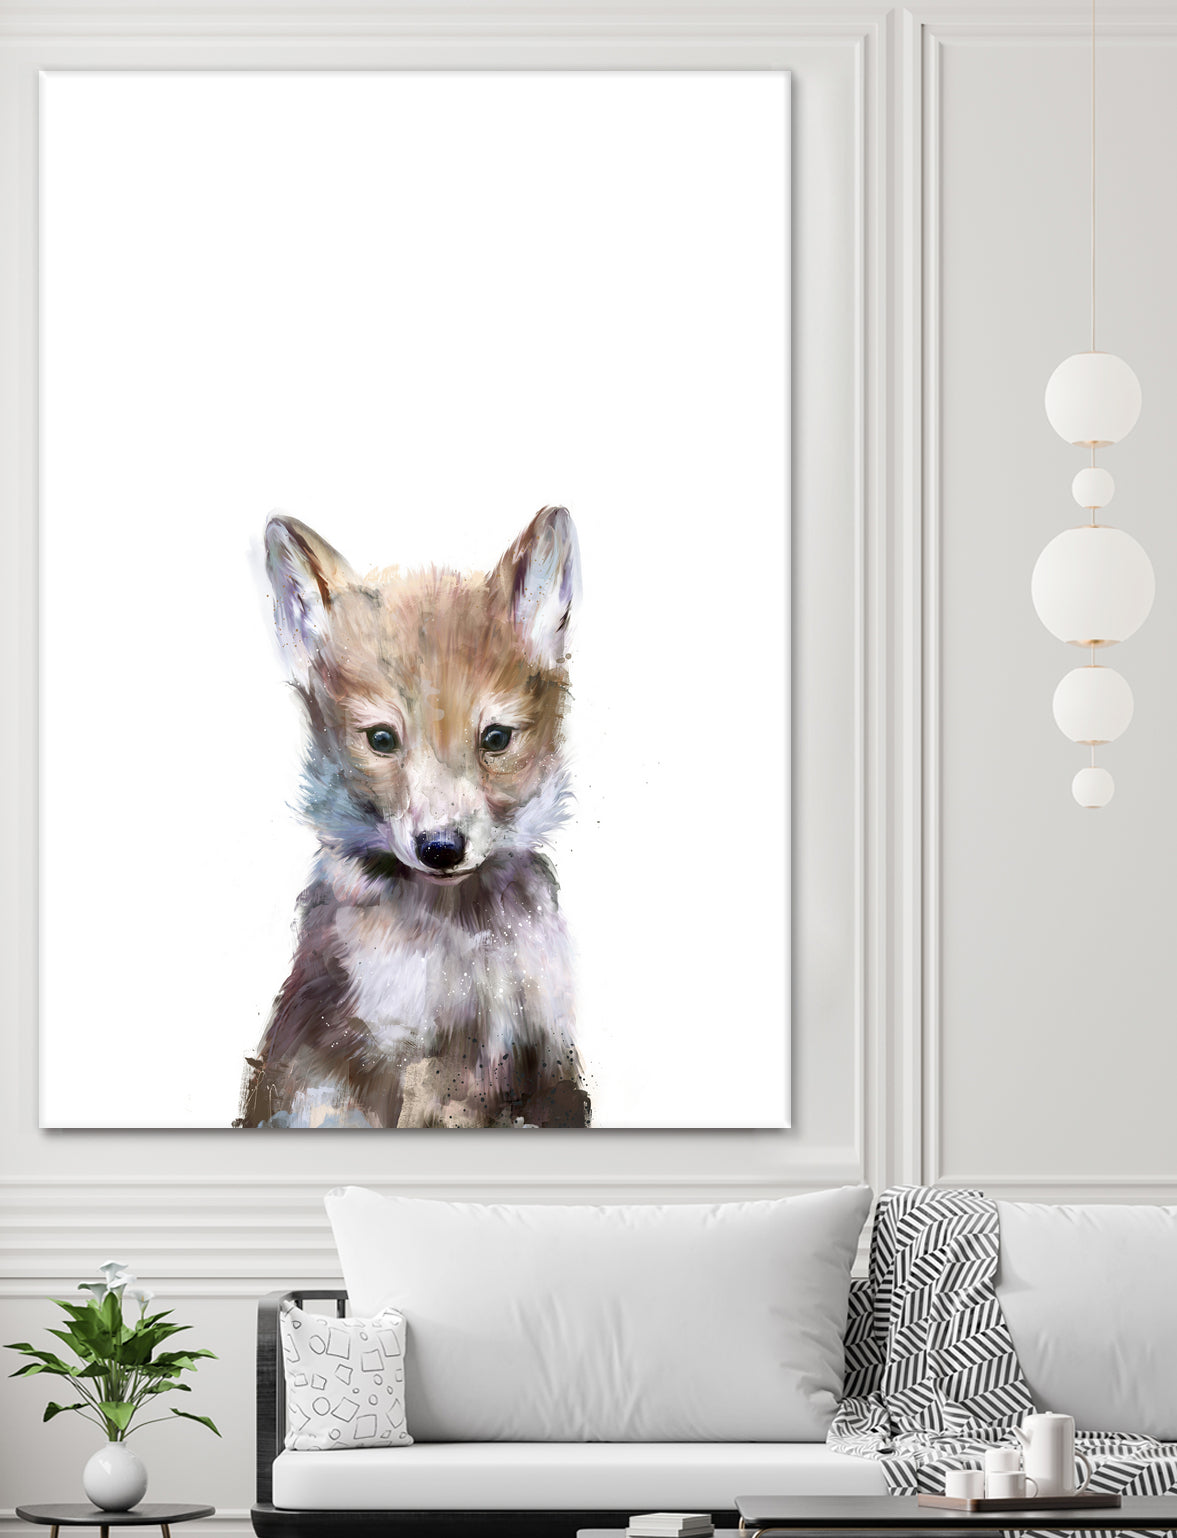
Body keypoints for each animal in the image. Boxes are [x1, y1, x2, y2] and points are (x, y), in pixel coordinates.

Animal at [236, 505, 590, 1129]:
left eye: (496, 738)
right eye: (382, 739)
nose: (441, 849)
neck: (464, 944)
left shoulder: (546, 1057)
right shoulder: (398, 1063)